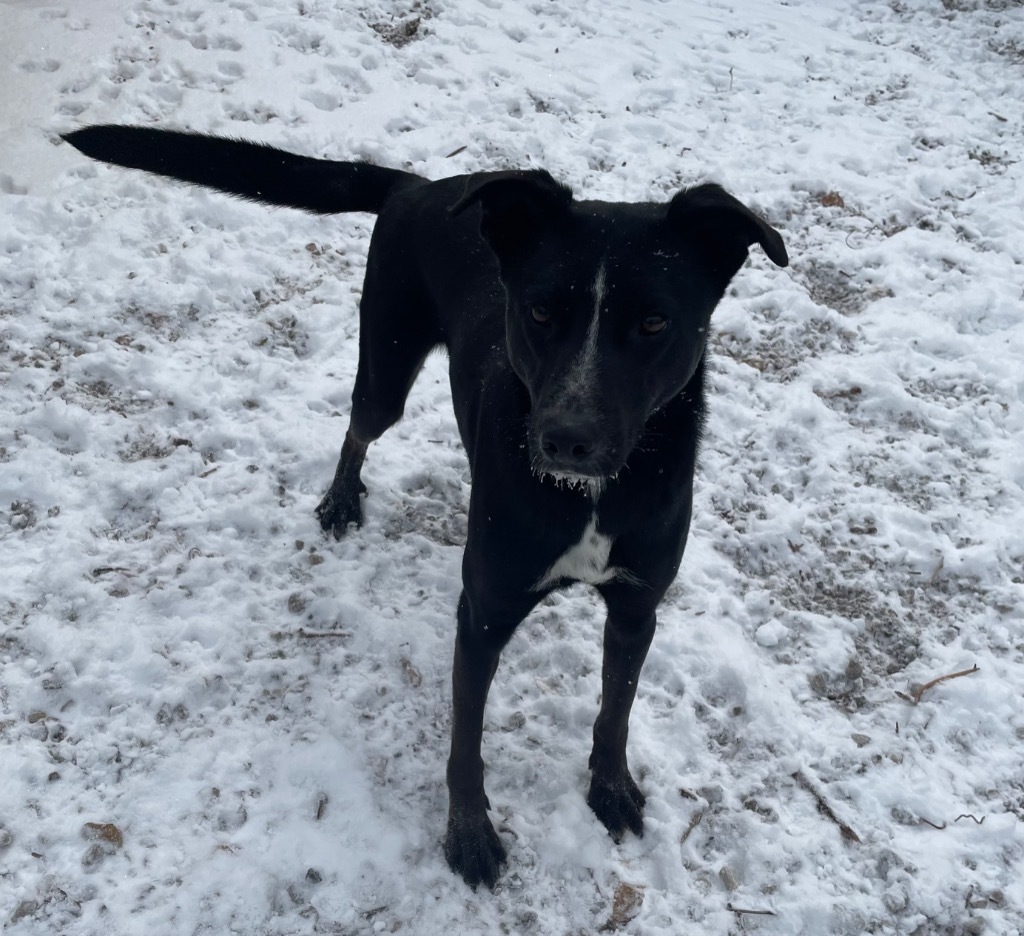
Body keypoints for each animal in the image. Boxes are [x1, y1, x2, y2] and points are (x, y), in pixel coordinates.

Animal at [61, 125, 782, 888]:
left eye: (653, 322)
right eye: (539, 311)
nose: (565, 439)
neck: (588, 498)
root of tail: (420, 186)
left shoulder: (638, 607)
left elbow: (616, 710)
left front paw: (611, 788)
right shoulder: (484, 615)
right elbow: (466, 743)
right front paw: (469, 835)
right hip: (387, 364)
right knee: (358, 426)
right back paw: (340, 499)